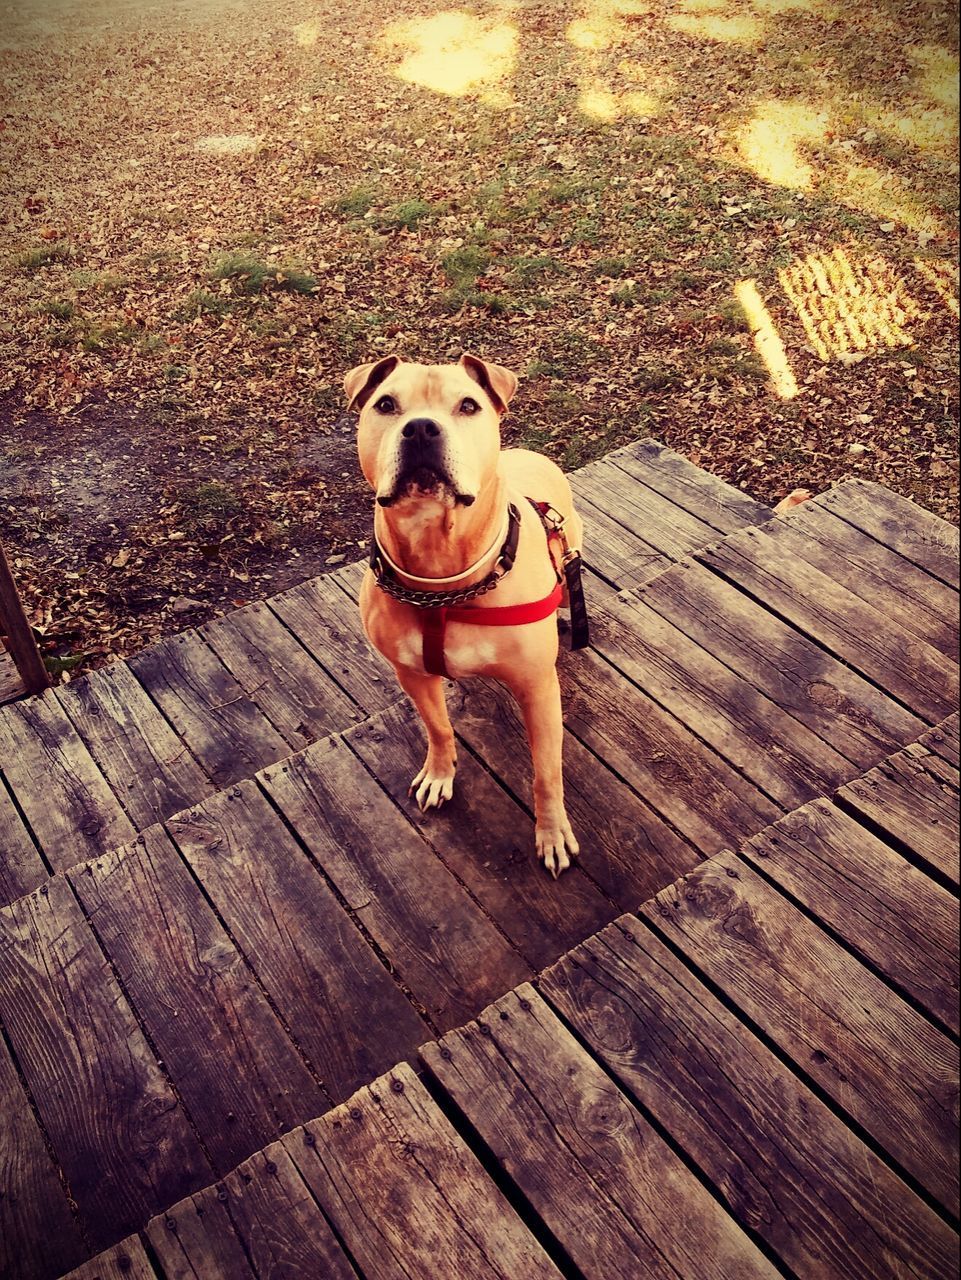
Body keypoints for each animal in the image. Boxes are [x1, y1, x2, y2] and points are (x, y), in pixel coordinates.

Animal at [348, 353, 583, 880]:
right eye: (385, 405)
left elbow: (546, 771)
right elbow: (437, 726)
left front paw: (552, 832)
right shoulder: (412, 672)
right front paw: (439, 774)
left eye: (468, 405)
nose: (420, 429)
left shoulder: (538, 689)